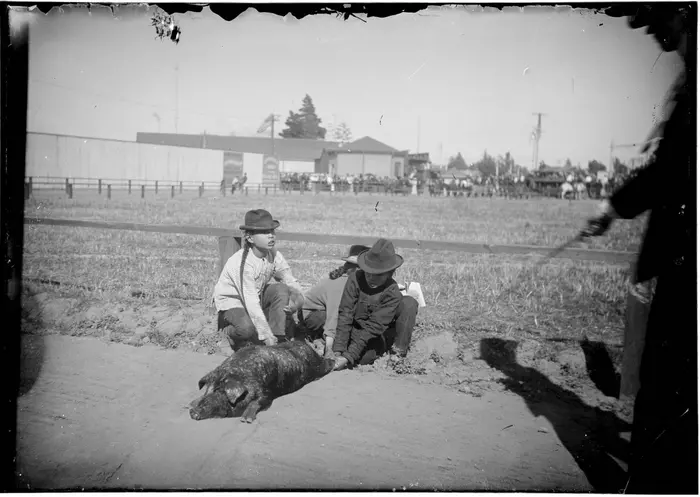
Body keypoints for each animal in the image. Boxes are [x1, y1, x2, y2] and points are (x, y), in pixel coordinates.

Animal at [189, 340, 336, 422]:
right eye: (208, 390)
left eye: (221, 391)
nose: (192, 412)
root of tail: (308, 345)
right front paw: (190, 403)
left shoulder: (266, 391)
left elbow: (259, 401)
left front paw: (246, 420)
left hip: (319, 366)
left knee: (328, 364)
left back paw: (336, 362)